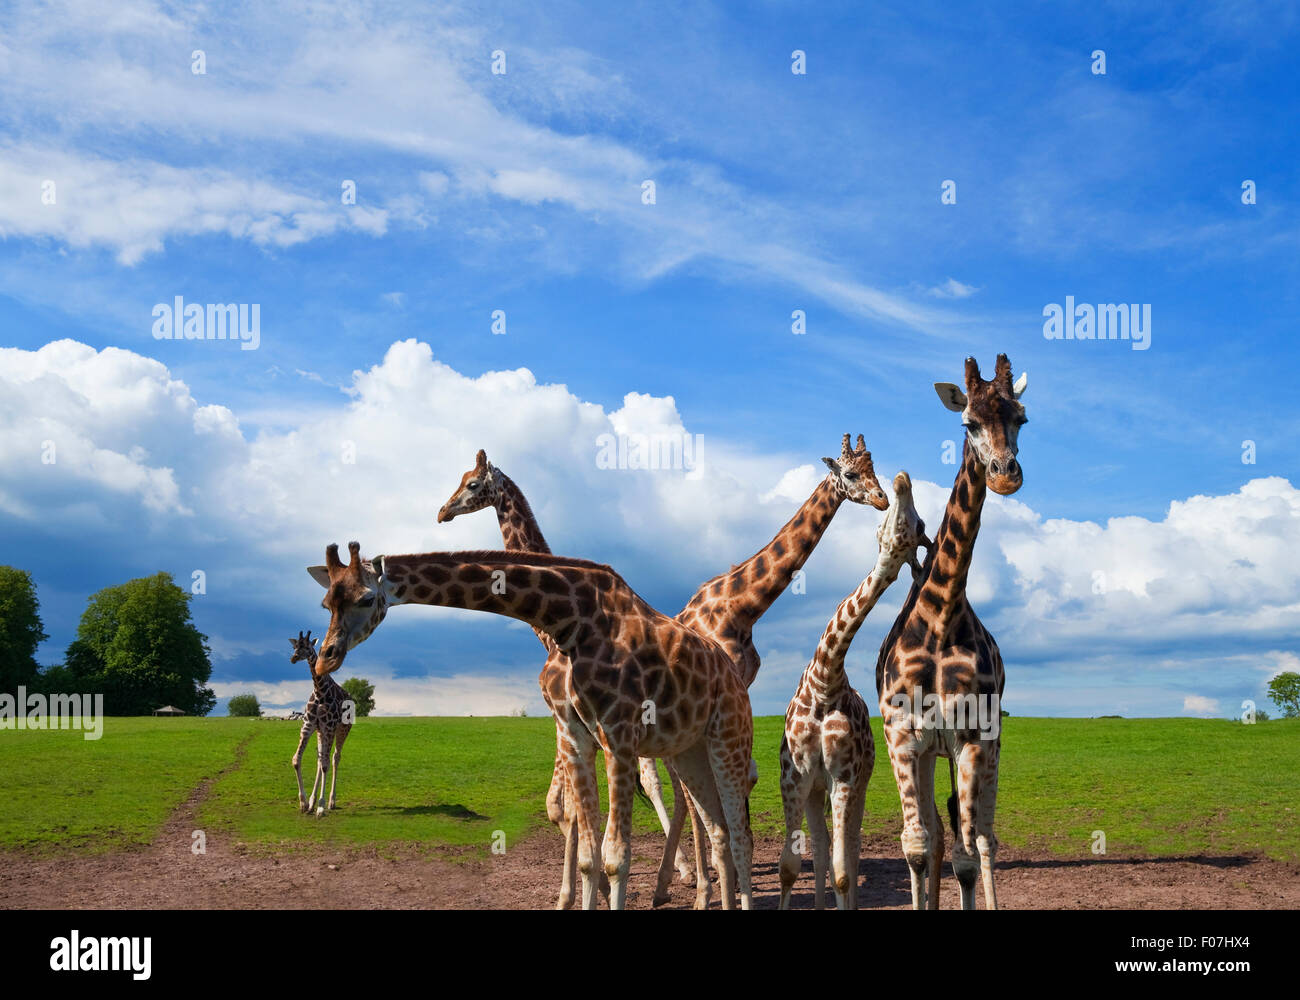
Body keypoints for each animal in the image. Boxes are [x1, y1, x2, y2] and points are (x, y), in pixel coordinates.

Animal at [288, 629, 353, 816]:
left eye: (307, 646)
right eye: (295, 646)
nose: (294, 658)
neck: (319, 691)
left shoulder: (330, 727)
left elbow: (326, 765)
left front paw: (321, 807)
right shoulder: (308, 726)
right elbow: (297, 759)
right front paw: (304, 803)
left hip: (342, 729)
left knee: (334, 758)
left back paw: (331, 801)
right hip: (320, 732)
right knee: (320, 758)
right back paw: (312, 802)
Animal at [305, 540, 759, 910]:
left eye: (367, 598)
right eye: (327, 603)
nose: (326, 657)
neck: (572, 619)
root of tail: (733, 674)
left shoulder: (620, 737)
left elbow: (616, 859)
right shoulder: (577, 738)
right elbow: (589, 857)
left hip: (729, 736)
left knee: (740, 836)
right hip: (688, 750)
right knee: (720, 831)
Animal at [434, 447, 696, 905]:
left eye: (472, 483)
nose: (442, 511)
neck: (550, 632)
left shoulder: (570, 722)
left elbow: (565, 808)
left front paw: (576, 894)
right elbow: (568, 809)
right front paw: (580, 892)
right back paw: (683, 875)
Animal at [774, 473, 930, 910]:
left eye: (918, 528)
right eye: (887, 527)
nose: (902, 481)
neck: (824, 680)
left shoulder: (845, 777)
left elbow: (844, 870)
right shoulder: (794, 777)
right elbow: (790, 865)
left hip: (855, 784)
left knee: (851, 847)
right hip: (816, 789)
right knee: (822, 846)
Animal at [878, 353, 1029, 910]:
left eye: (1020, 418)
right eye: (968, 423)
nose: (1005, 475)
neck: (941, 618)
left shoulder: (972, 737)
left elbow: (967, 851)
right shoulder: (904, 737)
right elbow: (919, 845)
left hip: (987, 748)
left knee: (980, 835)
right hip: (929, 752)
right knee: (939, 832)